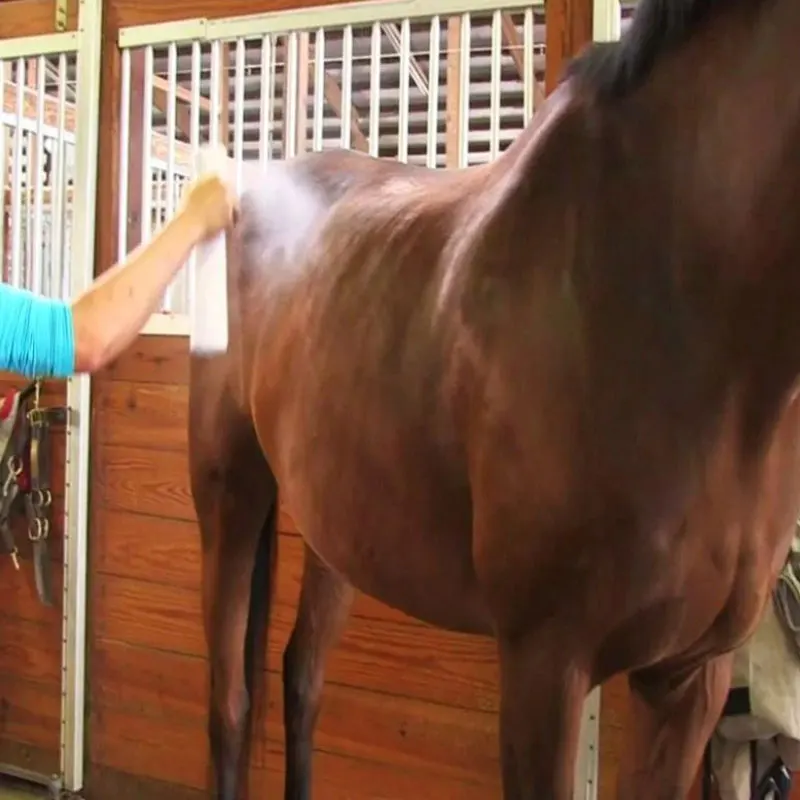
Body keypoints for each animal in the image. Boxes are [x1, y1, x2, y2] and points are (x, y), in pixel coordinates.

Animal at [187, 0, 800, 796]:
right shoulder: (546, 663)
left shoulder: (688, 678)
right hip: (229, 493)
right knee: (229, 704)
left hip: (337, 528)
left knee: (302, 679)